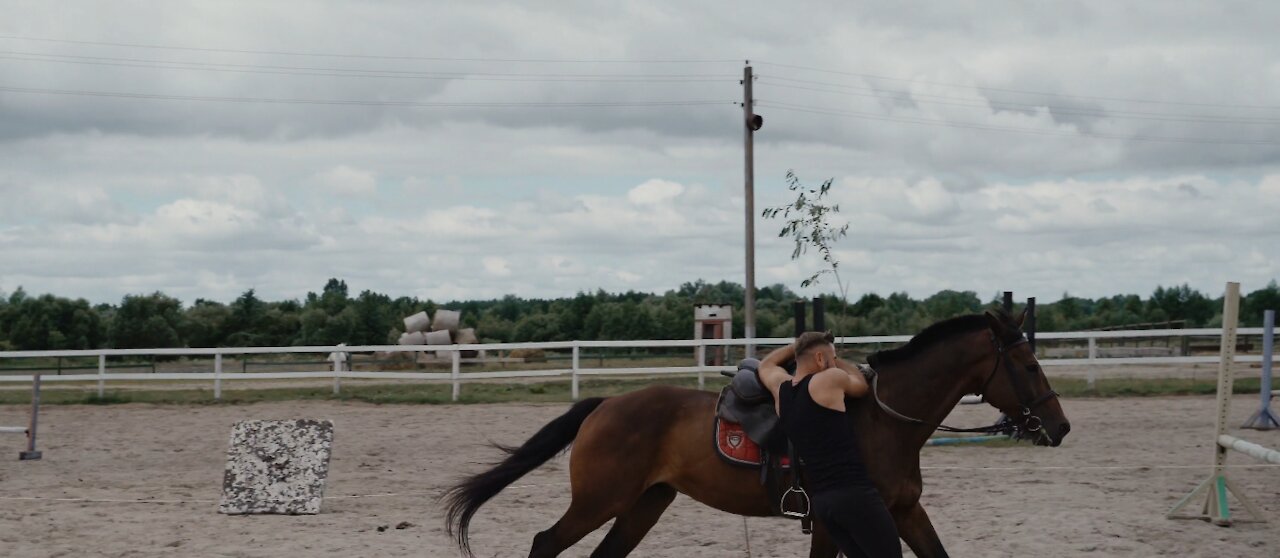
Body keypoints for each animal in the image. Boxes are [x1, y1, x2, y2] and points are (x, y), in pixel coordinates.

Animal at [445, 312, 1064, 555]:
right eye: (1029, 364)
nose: (1060, 426)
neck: (881, 419)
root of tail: (607, 405)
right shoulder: (835, 522)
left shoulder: (904, 512)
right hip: (601, 500)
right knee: (545, 543)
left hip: (644, 504)